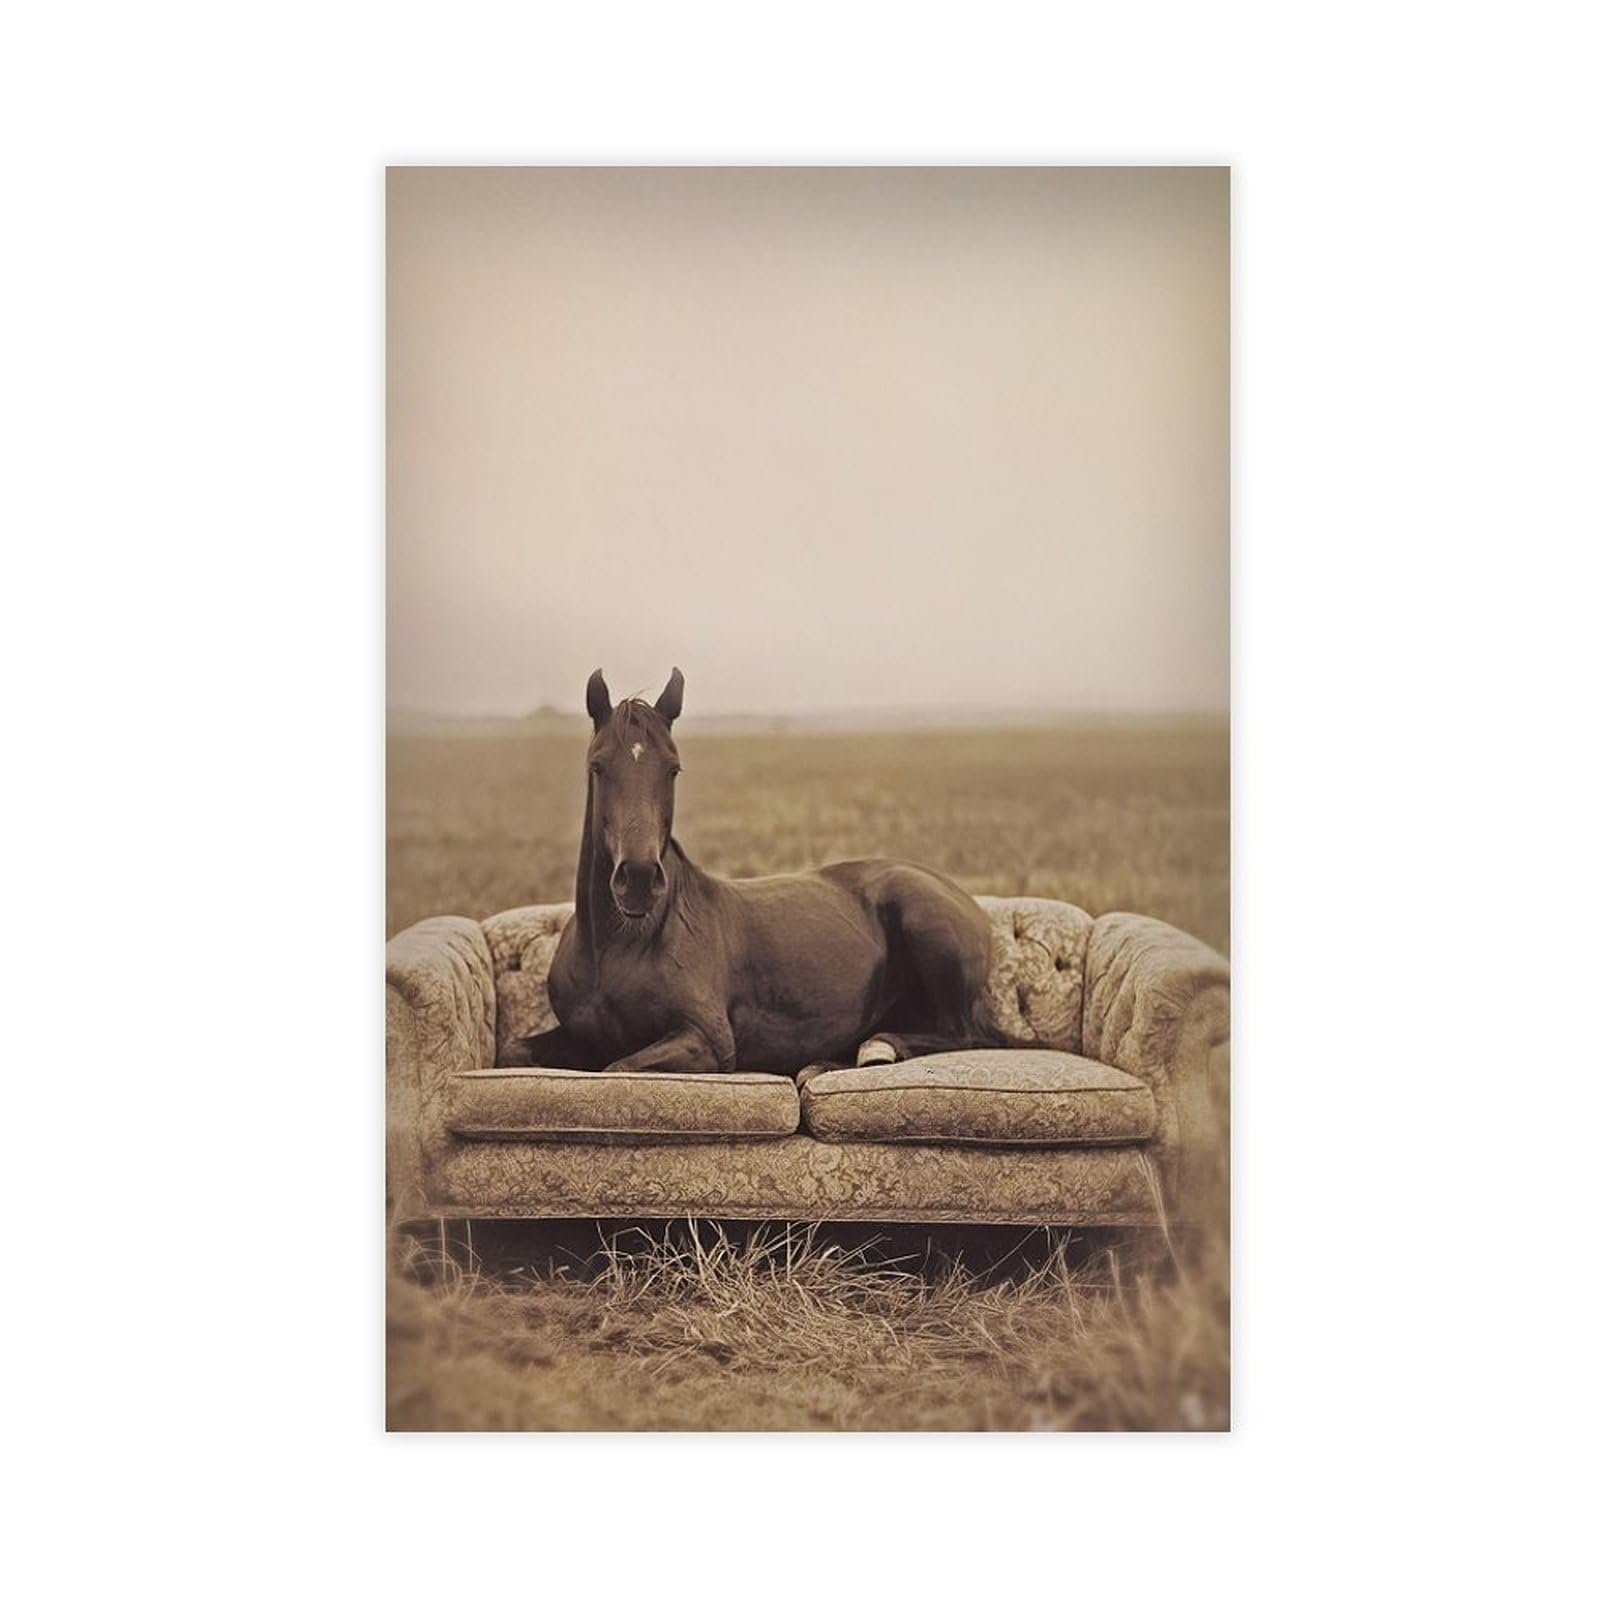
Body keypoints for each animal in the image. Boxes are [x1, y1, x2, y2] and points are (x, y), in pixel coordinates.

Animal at [506, 667, 1000, 1079]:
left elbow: (617, 1068)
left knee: (966, 1034)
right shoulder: (578, 1037)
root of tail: (965, 899)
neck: (618, 947)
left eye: (673, 768)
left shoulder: (706, 1041)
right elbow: (514, 1050)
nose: (640, 880)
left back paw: (872, 1050)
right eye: (597, 764)